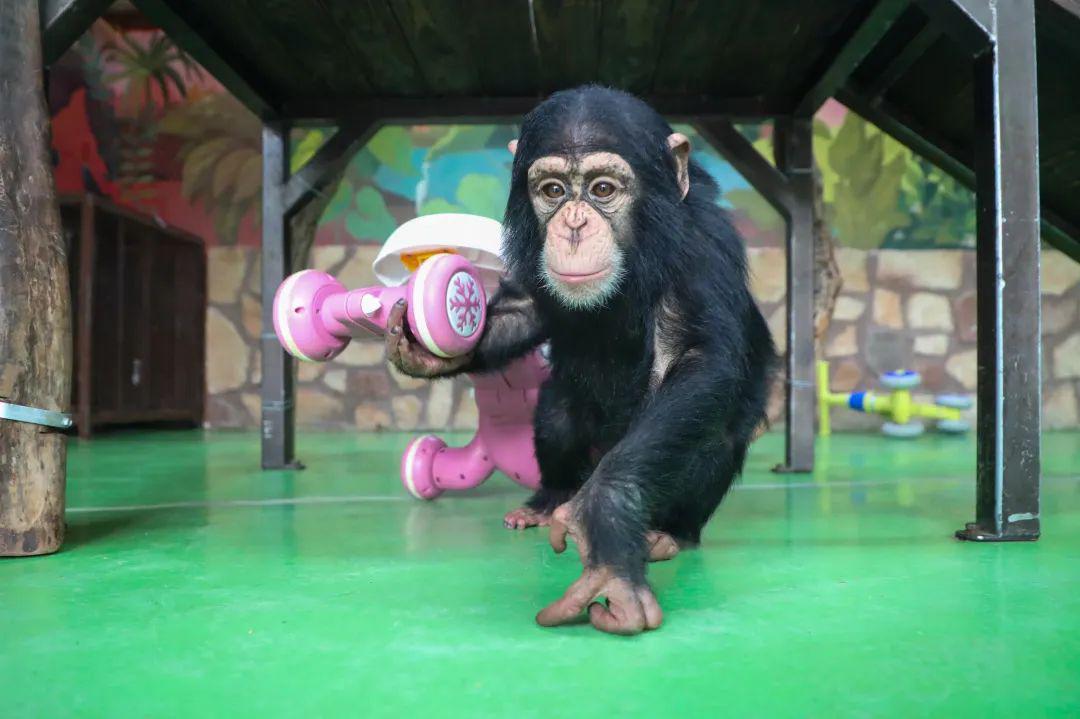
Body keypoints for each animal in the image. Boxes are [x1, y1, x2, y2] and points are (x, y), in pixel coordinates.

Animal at [386, 85, 776, 635]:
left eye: (603, 189)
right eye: (552, 190)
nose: (572, 225)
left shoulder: (705, 247)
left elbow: (696, 360)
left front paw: (604, 523)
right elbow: (526, 308)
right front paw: (427, 353)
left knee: (710, 434)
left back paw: (668, 534)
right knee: (557, 411)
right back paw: (547, 501)